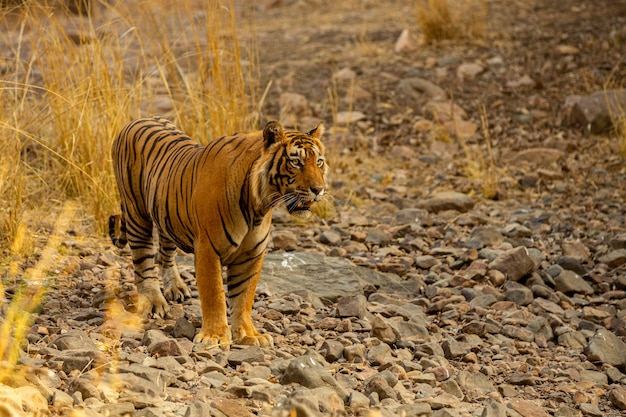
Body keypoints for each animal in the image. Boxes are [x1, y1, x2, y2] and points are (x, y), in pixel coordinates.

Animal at [108, 115, 326, 346]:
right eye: (296, 162)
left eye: (319, 162)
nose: (319, 189)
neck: (258, 206)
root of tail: (137, 120)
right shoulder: (208, 248)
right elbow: (214, 293)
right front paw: (215, 336)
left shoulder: (251, 254)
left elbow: (244, 296)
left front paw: (249, 334)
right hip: (136, 213)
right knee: (143, 261)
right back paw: (153, 301)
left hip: (165, 214)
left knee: (165, 253)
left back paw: (175, 287)